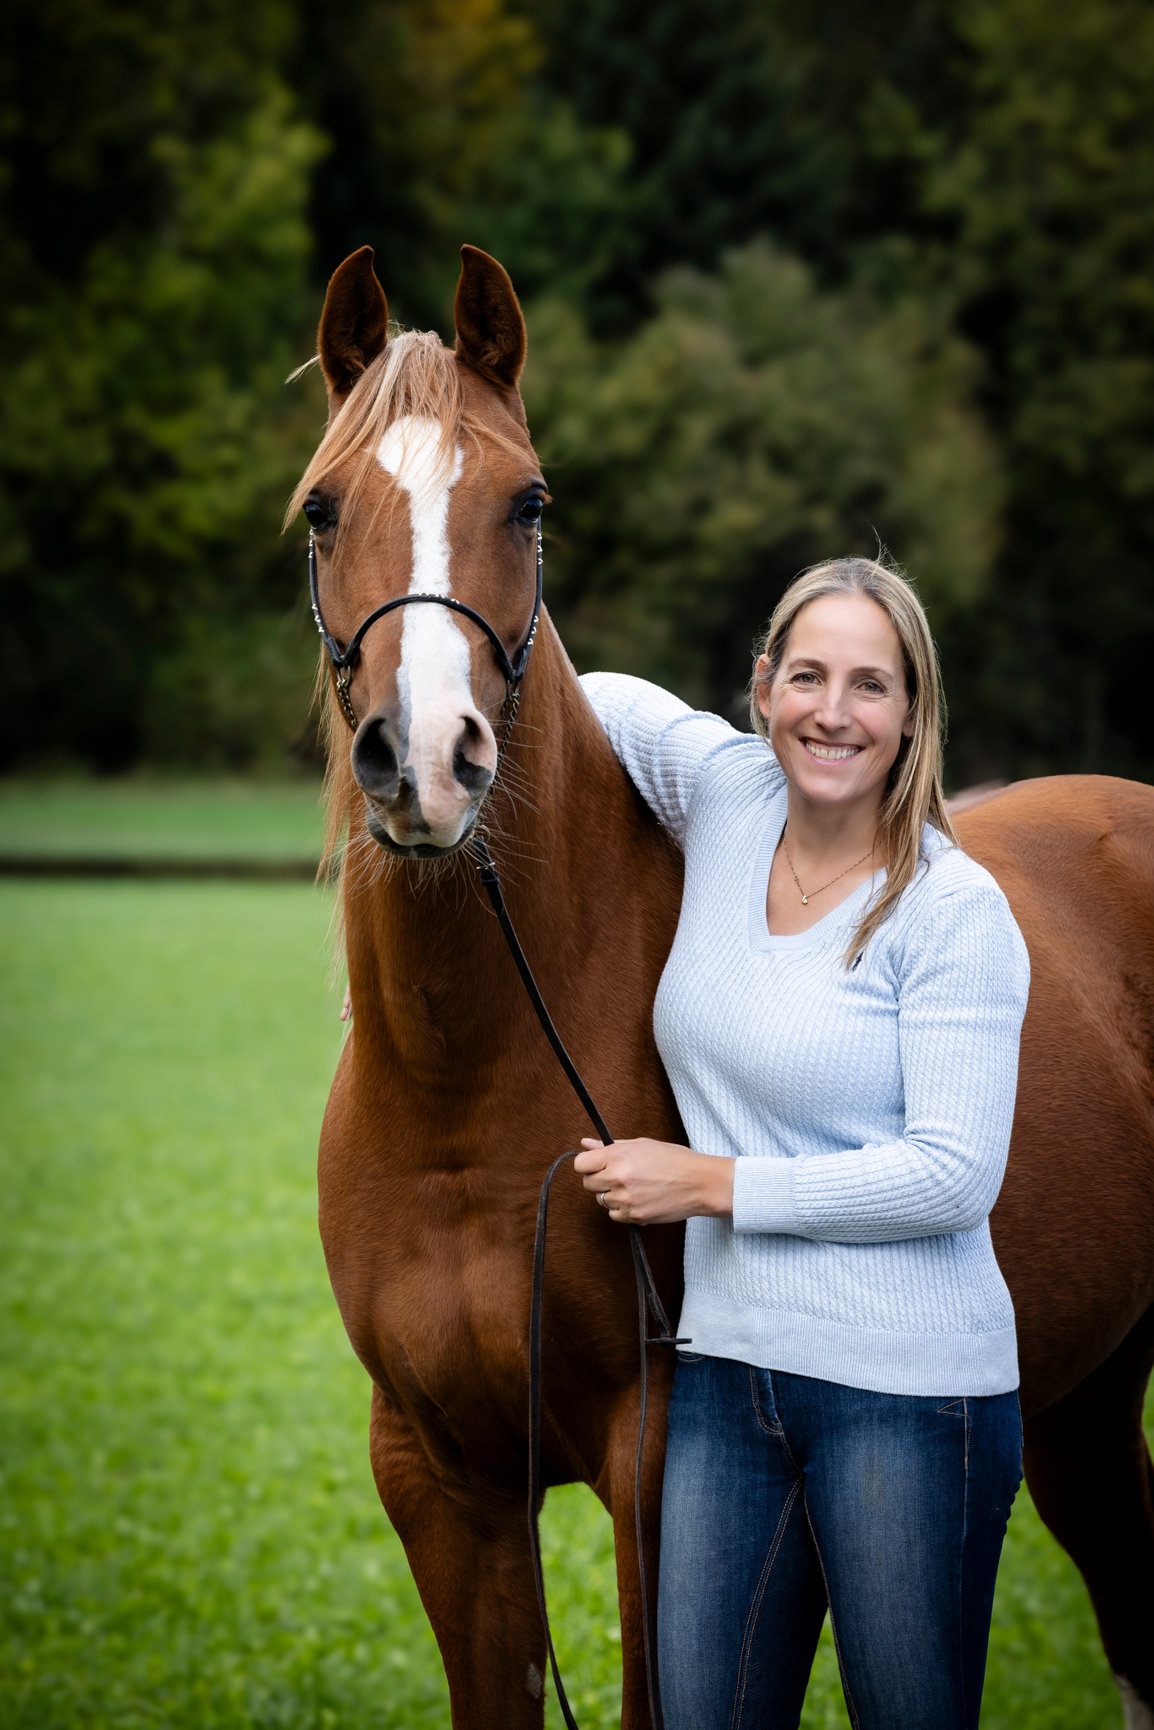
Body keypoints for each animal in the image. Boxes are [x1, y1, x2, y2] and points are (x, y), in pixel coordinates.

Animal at [290, 243, 1154, 1729]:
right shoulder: (439, 1477)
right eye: (324, 506)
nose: (426, 758)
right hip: (1087, 1398)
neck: (465, 1092)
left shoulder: (655, 1464)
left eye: (527, 501)